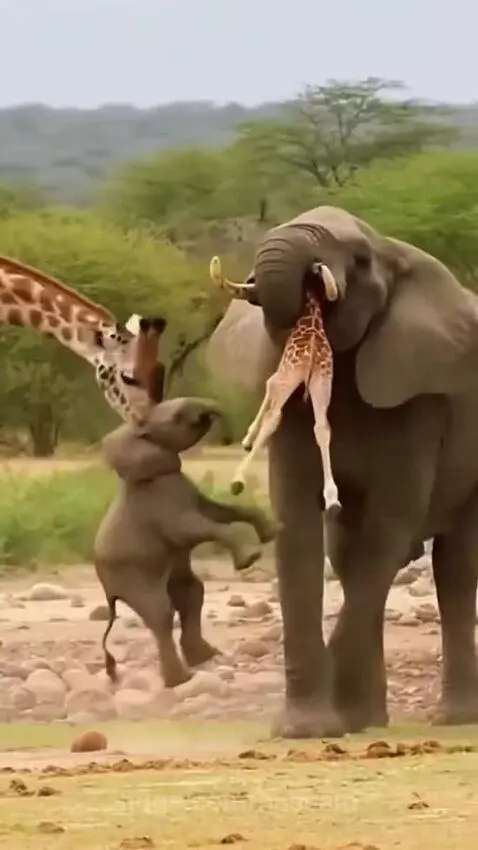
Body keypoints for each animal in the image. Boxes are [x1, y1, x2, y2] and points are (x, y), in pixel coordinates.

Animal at [94, 396, 277, 687]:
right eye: (178, 417)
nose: (235, 441)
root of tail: (109, 592)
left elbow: (219, 511)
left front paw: (273, 531)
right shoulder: (159, 500)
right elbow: (190, 528)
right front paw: (250, 558)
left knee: (191, 594)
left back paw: (204, 658)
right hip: (130, 576)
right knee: (161, 613)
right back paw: (180, 680)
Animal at [229, 290, 339, 507]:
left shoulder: (283, 370)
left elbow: (269, 384)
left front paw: (247, 440)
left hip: (291, 374)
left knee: (274, 417)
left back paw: (237, 481)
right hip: (322, 382)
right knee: (322, 427)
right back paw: (332, 499)